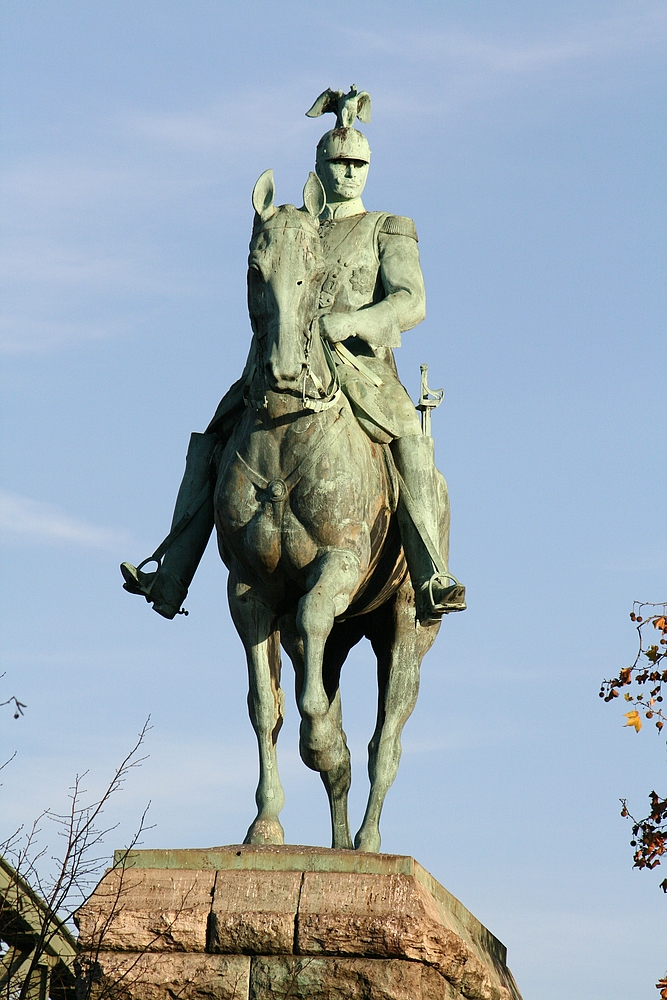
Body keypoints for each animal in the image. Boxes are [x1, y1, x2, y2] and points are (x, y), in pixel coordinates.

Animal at [213, 170, 448, 852]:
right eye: (255, 268)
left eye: (315, 273)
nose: (284, 370)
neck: (286, 432)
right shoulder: (249, 590)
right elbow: (265, 708)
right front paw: (265, 824)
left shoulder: (338, 566)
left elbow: (319, 711)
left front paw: (318, 738)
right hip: (331, 638)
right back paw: (341, 841)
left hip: (406, 626)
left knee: (385, 740)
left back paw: (366, 842)